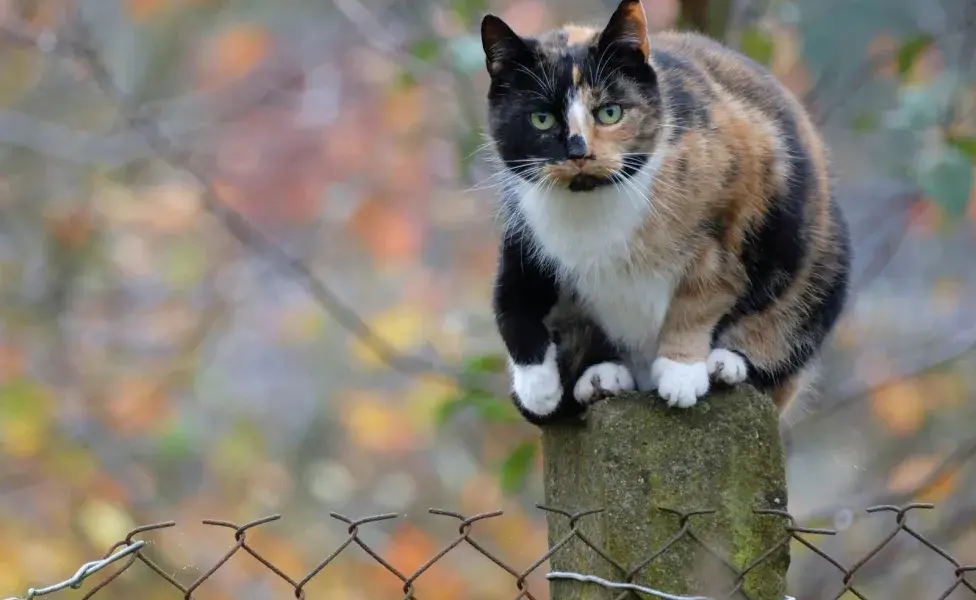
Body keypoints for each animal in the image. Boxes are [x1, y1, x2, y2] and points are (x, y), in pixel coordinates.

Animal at [484, 0, 852, 426]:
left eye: (610, 112)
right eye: (541, 118)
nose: (579, 152)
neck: (593, 212)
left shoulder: (735, 207)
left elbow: (703, 294)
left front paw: (681, 373)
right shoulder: (524, 230)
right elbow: (511, 300)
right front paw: (538, 388)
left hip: (820, 269)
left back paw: (725, 366)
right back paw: (600, 376)